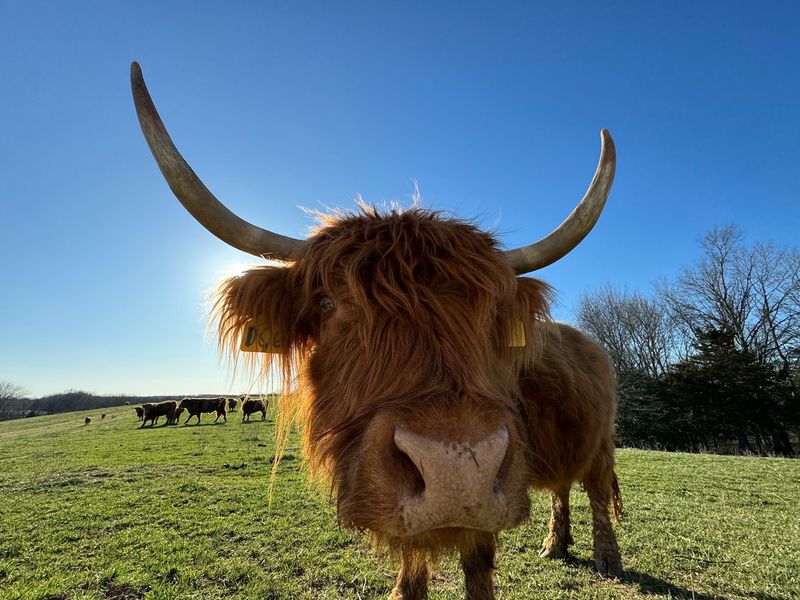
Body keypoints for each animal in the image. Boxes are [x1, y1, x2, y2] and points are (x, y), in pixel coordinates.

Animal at [132, 62, 622, 599]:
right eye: (326, 302)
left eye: (493, 312)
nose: (457, 471)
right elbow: (412, 567)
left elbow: (477, 564)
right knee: (561, 487)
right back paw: (555, 544)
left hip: (602, 440)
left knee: (596, 488)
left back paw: (607, 556)